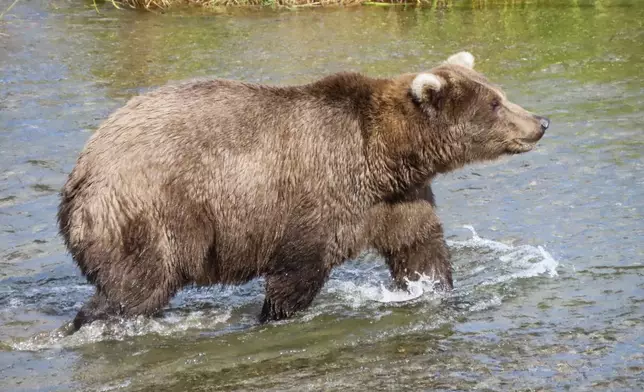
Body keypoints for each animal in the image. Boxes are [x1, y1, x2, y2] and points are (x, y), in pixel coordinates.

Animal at [57, 50, 548, 330]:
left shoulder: (397, 200)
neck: (384, 158)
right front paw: (274, 316)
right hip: (148, 211)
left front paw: (434, 290)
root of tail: (80, 170)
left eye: (499, 92)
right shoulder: (318, 195)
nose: (540, 122)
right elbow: (297, 272)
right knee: (136, 287)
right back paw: (93, 321)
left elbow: (420, 249)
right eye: (495, 104)